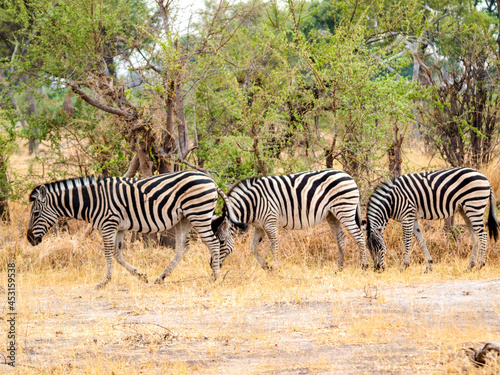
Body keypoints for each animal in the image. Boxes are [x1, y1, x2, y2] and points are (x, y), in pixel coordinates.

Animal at [26, 172, 246, 290]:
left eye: (35, 213)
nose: (29, 239)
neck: (92, 200)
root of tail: (210, 180)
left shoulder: (109, 223)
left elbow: (108, 253)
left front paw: (103, 282)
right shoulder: (120, 227)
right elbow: (117, 254)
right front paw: (141, 275)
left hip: (198, 213)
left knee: (213, 242)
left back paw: (215, 277)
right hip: (185, 218)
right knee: (186, 247)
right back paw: (160, 278)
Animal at [211, 170, 368, 270]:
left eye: (221, 242)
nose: (212, 265)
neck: (253, 202)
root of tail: (348, 176)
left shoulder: (270, 221)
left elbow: (274, 246)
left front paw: (276, 267)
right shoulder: (259, 226)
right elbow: (253, 248)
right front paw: (266, 267)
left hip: (345, 210)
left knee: (359, 236)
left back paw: (364, 266)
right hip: (332, 215)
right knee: (341, 239)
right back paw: (339, 268)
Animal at [364, 169, 500, 272]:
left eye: (379, 248)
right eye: (369, 249)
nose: (377, 269)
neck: (392, 201)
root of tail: (485, 178)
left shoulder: (407, 216)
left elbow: (407, 241)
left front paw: (404, 266)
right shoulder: (413, 218)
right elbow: (421, 241)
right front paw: (429, 265)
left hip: (474, 207)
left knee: (483, 235)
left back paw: (480, 265)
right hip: (465, 210)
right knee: (475, 237)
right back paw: (470, 266)